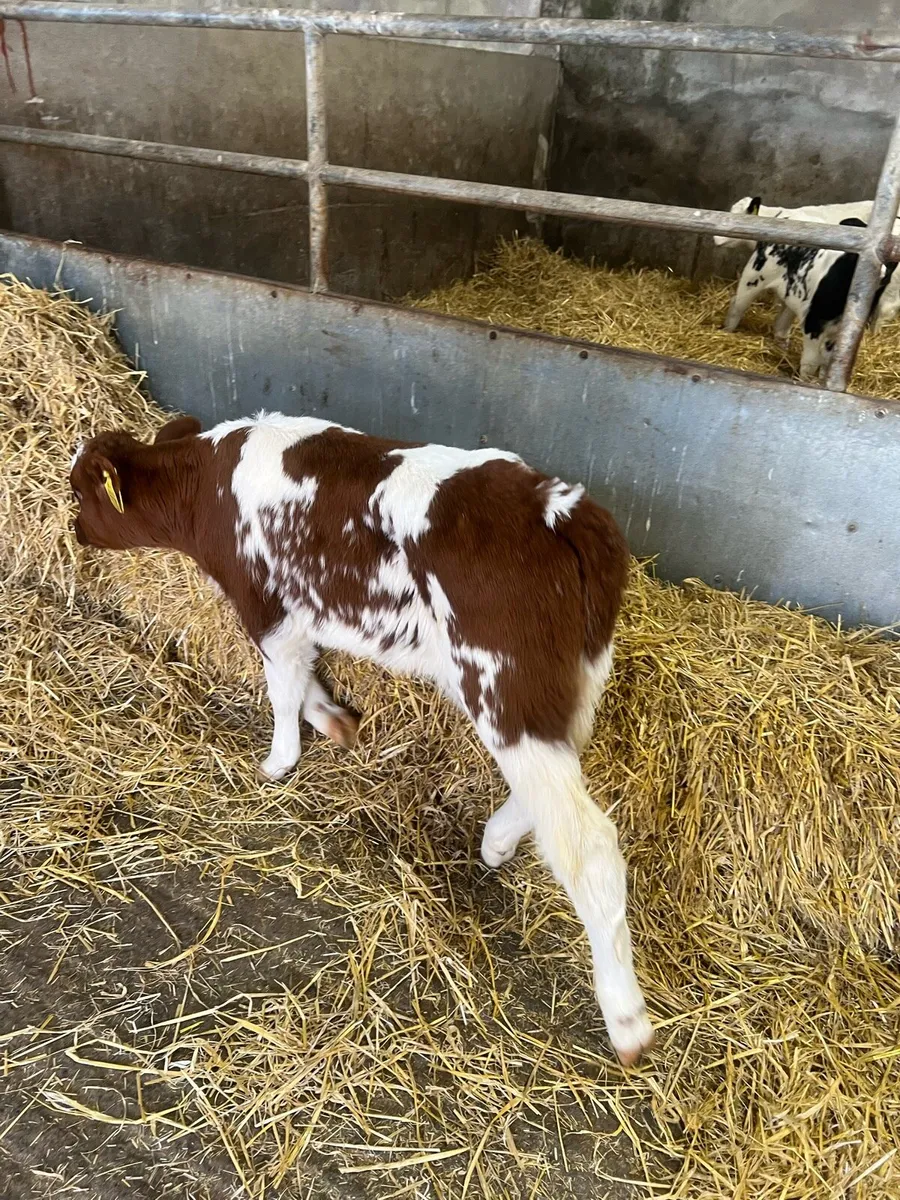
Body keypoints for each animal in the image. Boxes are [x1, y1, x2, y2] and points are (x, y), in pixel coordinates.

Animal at [70, 412, 654, 1066]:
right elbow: (302, 678)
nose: (73, 531)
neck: (208, 484)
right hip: (572, 674)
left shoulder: (265, 607)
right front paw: (333, 721)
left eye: (79, 493)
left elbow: (282, 686)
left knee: (588, 841)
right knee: (558, 780)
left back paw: (627, 1021)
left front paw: (278, 761)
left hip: (504, 679)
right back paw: (498, 842)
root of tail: (562, 509)